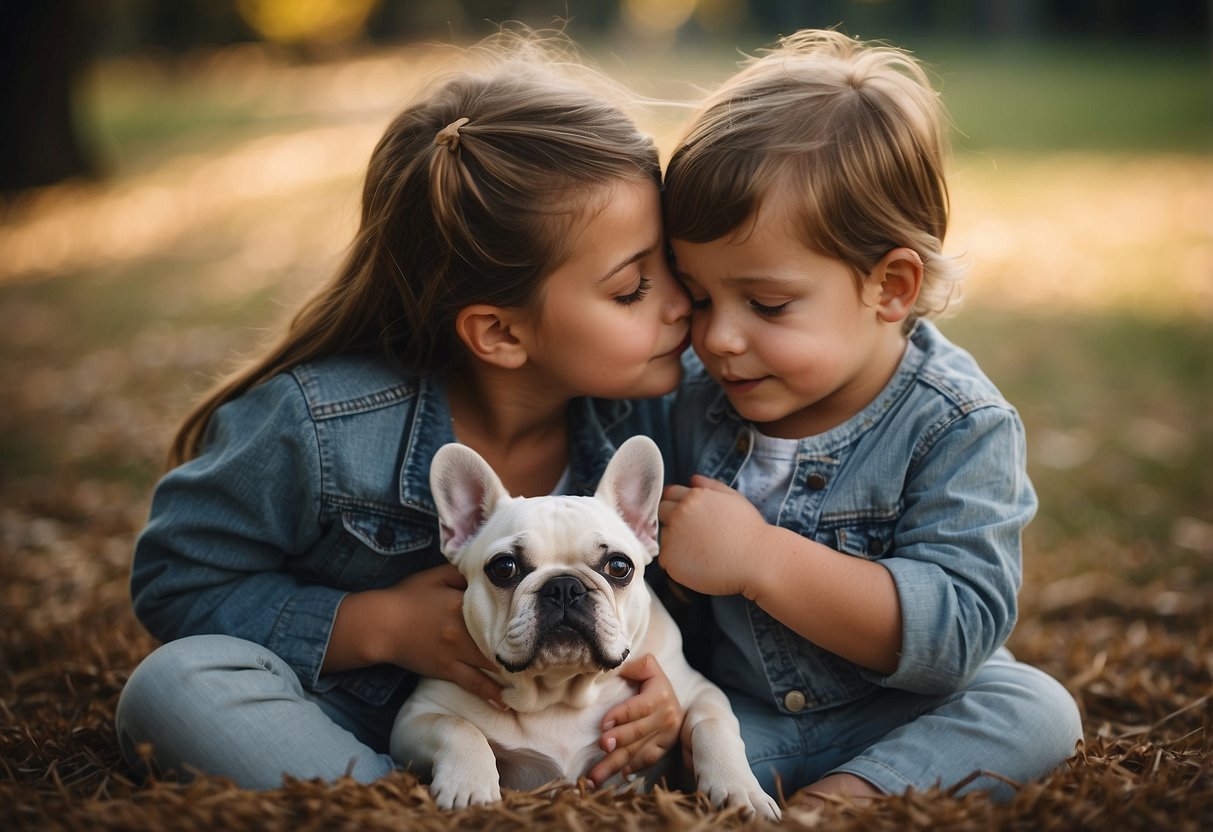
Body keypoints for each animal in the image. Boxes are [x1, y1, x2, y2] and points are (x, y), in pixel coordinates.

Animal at [393, 436, 781, 819]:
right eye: (503, 567)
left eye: (619, 566)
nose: (564, 586)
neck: (560, 690)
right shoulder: (416, 716)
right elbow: (457, 727)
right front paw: (469, 787)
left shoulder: (701, 692)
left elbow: (713, 727)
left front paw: (742, 793)